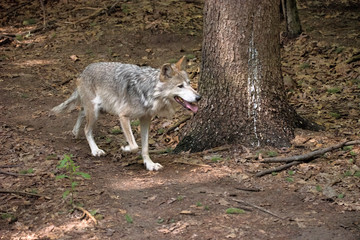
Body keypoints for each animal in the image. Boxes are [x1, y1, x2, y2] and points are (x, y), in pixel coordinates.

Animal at [52, 56, 201, 171]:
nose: (199, 97)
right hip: (95, 112)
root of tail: (84, 71)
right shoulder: (123, 116)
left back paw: (75, 132)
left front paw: (150, 164)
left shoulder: (145, 119)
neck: (148, 91)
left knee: (81, 112)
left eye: (189, 83)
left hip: (99, 110)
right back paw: (95, 150)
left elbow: (145, 147)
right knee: (87, 129)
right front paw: (125, 148)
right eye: (180, 86)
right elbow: (135, 146)